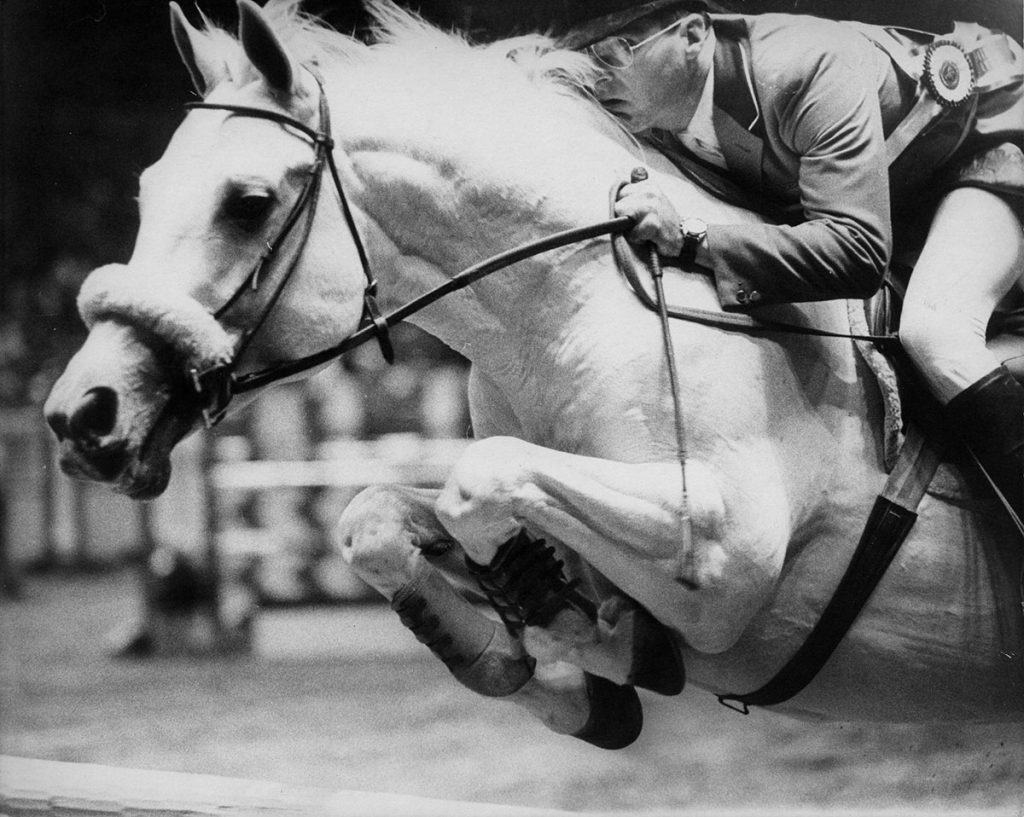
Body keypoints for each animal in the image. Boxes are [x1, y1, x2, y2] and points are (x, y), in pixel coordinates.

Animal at [43, 0, 1024, 748]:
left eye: (246, 204)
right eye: (145, 191)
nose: (82, 415)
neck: (573, 305)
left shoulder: (723, 548)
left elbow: (483, 481)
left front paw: (590, 632)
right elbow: (376, 518)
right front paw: (532, 659)